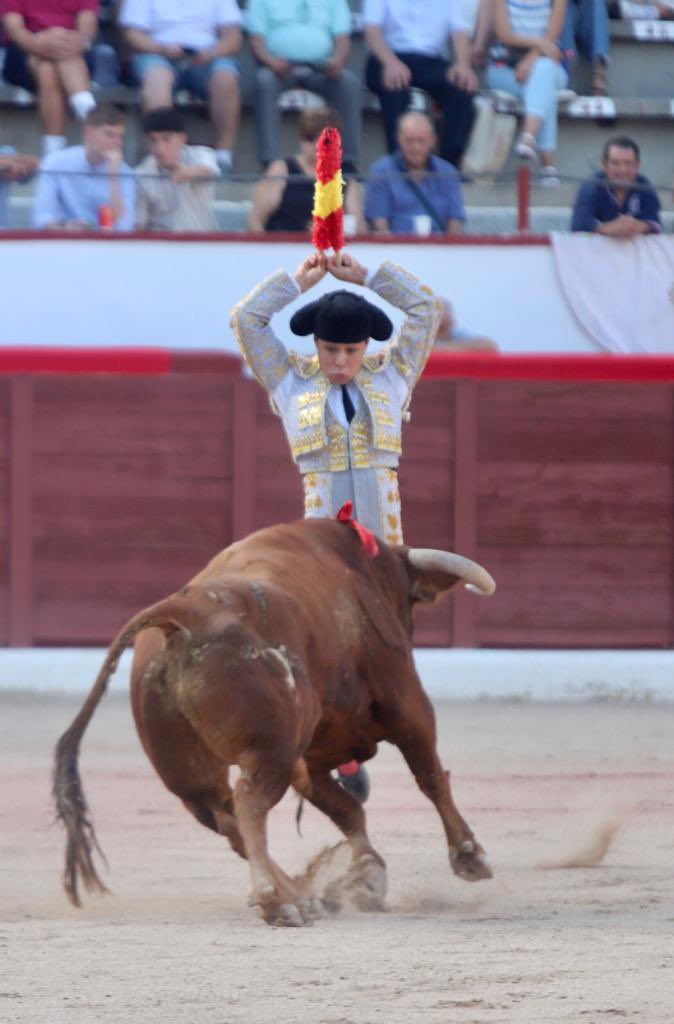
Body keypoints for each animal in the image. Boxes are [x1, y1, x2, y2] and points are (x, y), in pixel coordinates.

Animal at [53, 514, 495, 927]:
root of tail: (183, 612)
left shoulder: (311, 757)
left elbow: (347, 809)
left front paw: (368, 874)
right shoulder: (406, 703)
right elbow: (430, 778)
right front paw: (469, 856)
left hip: (190, 776)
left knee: (227, 818)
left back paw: (298, 895)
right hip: (272, 750)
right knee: (249, 803)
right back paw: (277, 900)